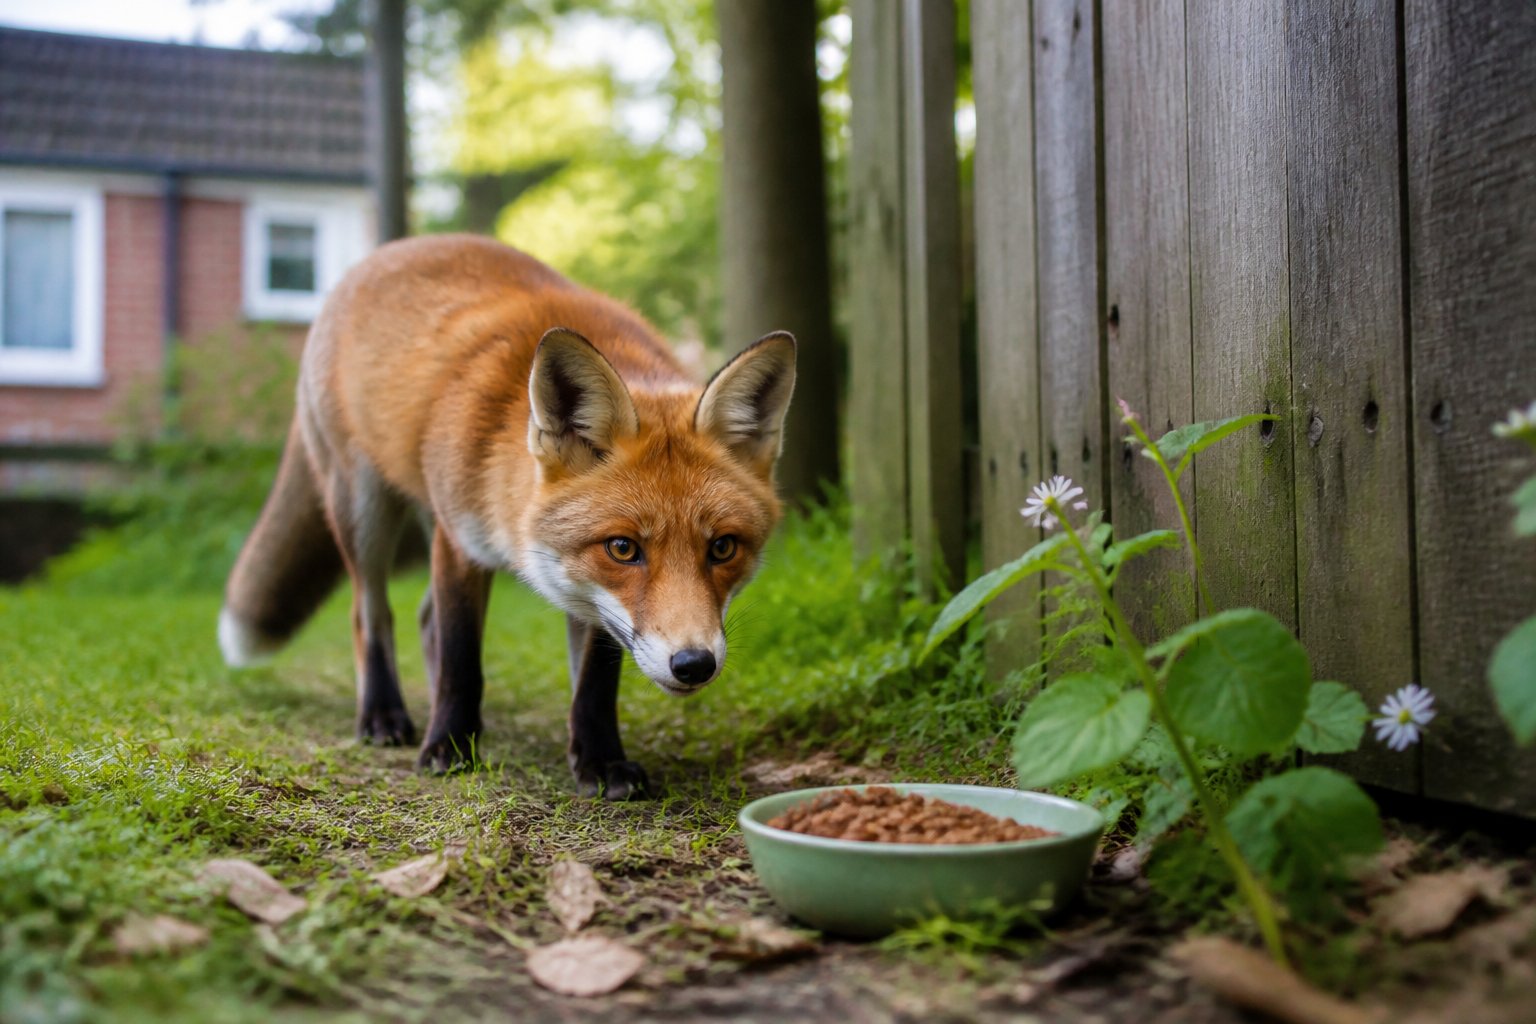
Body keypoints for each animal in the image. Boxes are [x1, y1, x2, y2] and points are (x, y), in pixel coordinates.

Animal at [217, 234, 795, 799]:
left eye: (722, 547)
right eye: (624, 548)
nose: (694, 664)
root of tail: (385, 251)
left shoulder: (587, 594)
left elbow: (593, 684)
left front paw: (599, 760)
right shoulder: (459, 541)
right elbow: (462, 661)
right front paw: (449, 747)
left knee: (422, 618)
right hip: (361, 503)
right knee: (372, 615)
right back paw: (384, 716)